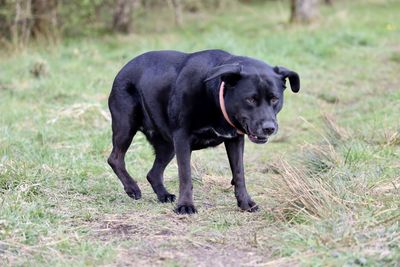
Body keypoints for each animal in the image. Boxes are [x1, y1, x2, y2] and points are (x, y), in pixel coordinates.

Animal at [107, 49, 300, 216]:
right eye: (250, 99)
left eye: (274, 99)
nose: (269, 128)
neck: (214, 96)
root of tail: (123, 69)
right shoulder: (182, 138)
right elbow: (185, 175)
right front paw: (186, 206)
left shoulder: (235, 139)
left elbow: (239, 173)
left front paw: (245, 203)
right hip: (126, 126)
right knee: (115, 158)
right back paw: (132, 188)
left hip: (168, 145)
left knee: (153, 173)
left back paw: (163, 195)